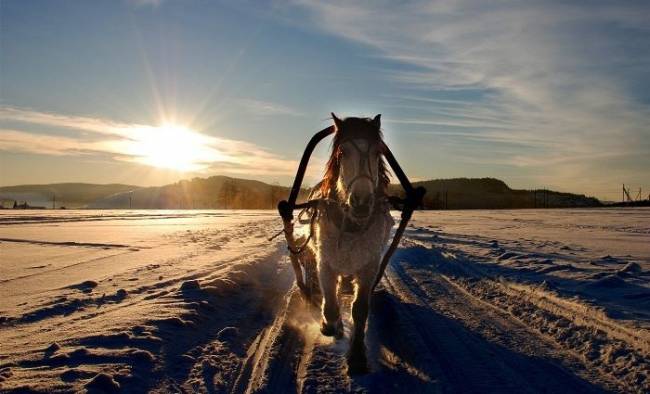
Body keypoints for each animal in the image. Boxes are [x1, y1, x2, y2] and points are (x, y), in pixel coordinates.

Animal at [306, 112, 392, 374]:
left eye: (377, 151)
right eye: (342, 152)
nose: (361, 202)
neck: (352, 224)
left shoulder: (368, 268)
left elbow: (360, 309)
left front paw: (357, 355)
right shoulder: (325, 264)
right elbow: (331, 306)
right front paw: (330, 326)